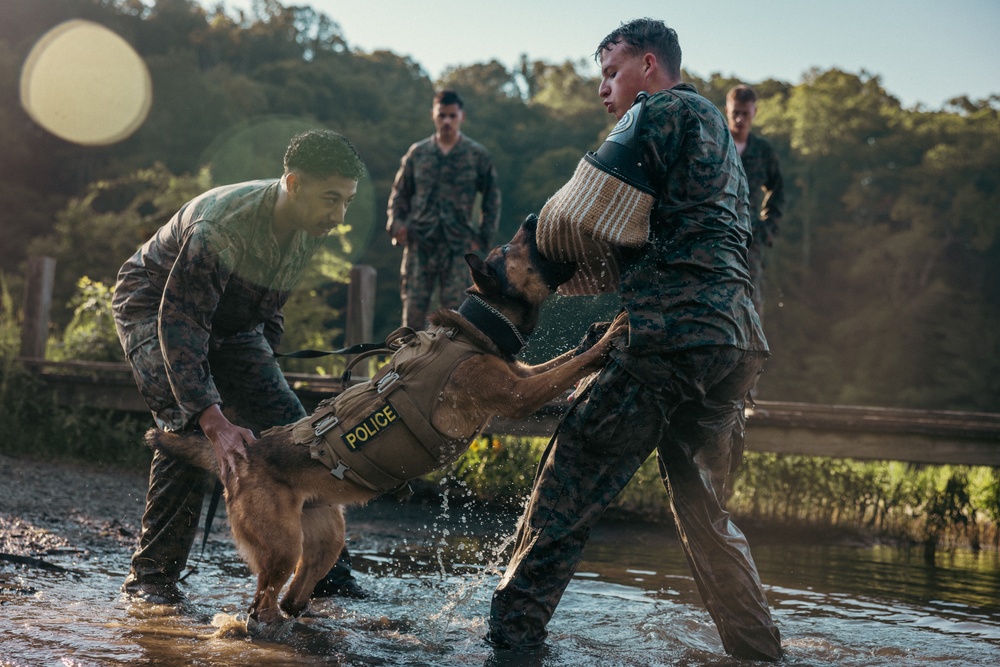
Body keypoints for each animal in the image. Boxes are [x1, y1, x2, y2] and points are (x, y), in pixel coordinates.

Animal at [145, 215, 628, 628]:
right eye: (512, 247)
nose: (531, 217)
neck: (476, 330)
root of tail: (244, 457)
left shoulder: (521, 376)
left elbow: (561, 362)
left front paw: (595, 333)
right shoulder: (519, 395)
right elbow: (570, 366)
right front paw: (610, 335)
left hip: (326, 538)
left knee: (293, 596)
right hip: (283, 547)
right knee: (261, 605)